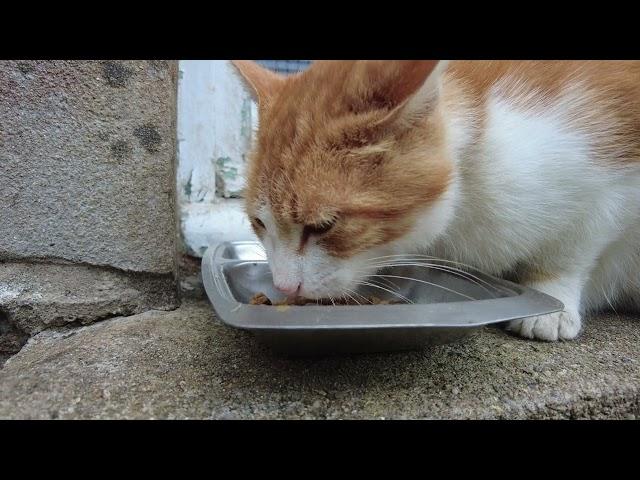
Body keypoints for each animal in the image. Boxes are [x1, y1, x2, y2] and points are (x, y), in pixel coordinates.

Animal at [232, 60, 640, 342]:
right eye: (259, 223)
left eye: (324, 226)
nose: (285, 288)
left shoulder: (612, 177)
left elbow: (572, 246)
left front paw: (552, 297)